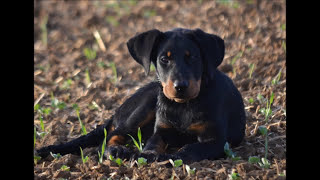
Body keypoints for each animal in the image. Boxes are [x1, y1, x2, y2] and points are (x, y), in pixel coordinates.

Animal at [38, 28, 248, 163]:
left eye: (193, 57)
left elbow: (190, 148)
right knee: (111, 136)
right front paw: (148, 155)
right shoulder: (162, 131)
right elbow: (152, 144)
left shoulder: (216, 140)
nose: (180, 86)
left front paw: (170, 157)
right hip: (146, 105)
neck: (183, 105)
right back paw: (116, 150)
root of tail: (117, 112)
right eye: (164, 59)